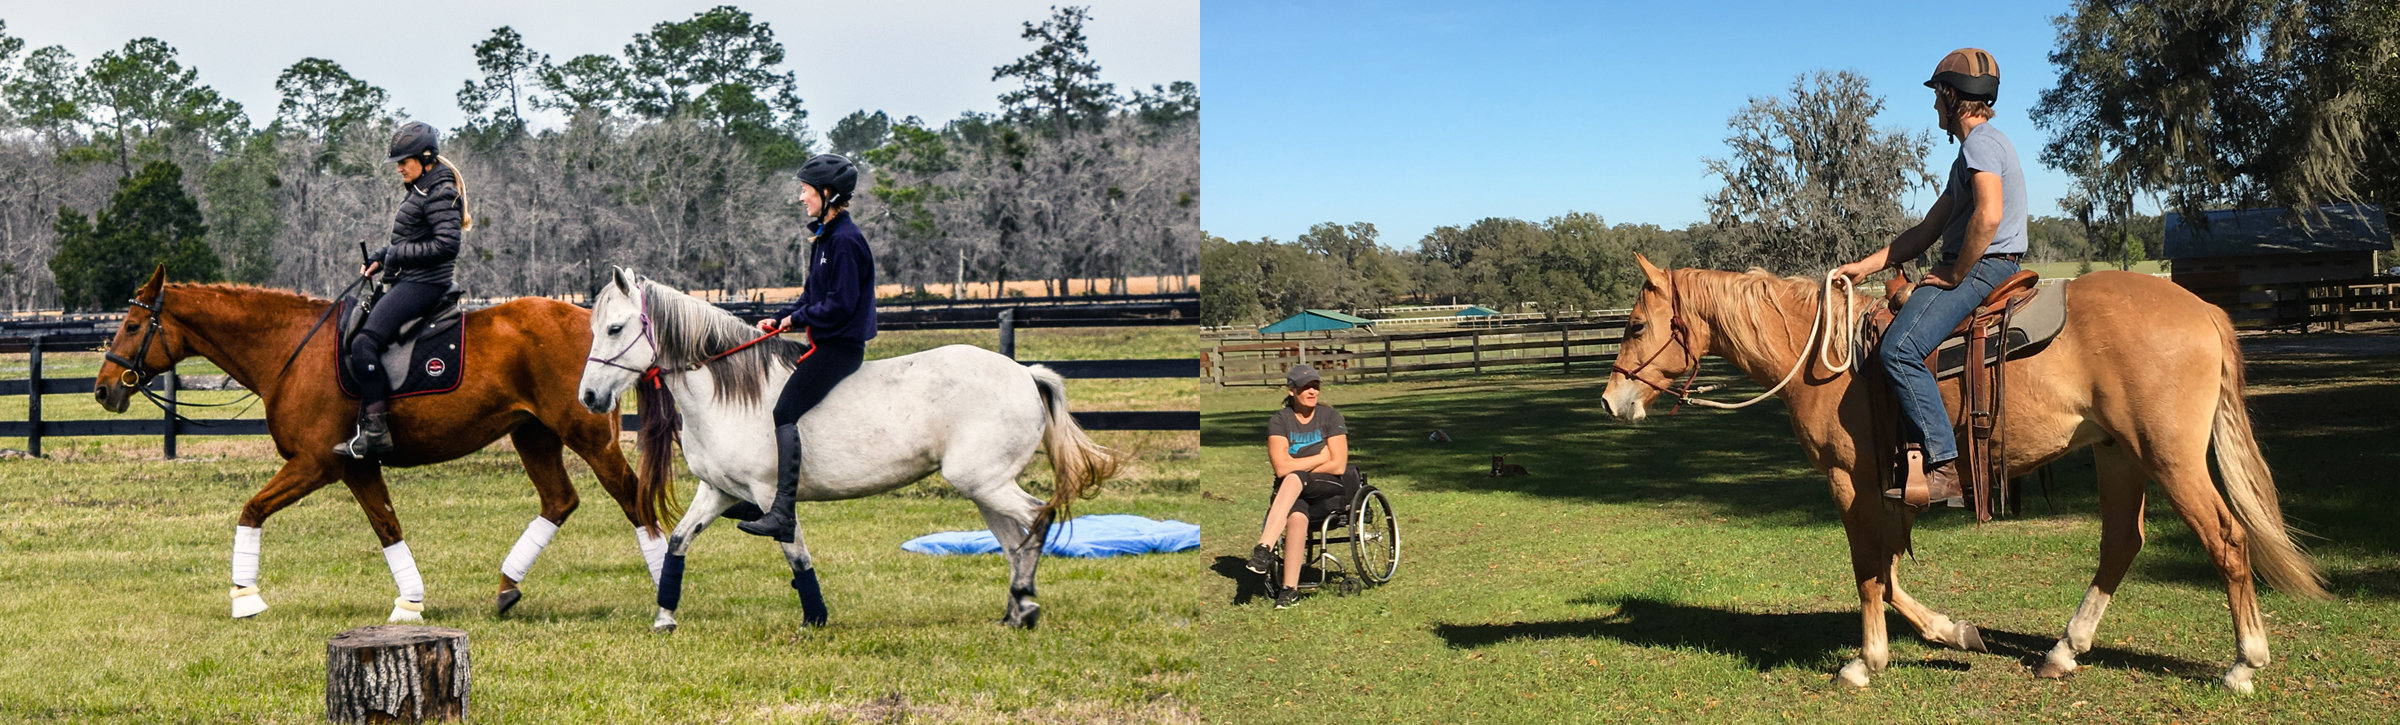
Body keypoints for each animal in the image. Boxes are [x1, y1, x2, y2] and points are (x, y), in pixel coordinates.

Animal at [93, 267, 666, 622]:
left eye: (132, 325)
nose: (103, 390)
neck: (291, 349)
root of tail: (590, 320)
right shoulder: (357, 468)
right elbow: (388, 527)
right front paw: (409, 604)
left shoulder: (315, 464)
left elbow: (251, 510)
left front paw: (244, 599)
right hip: (533, 435)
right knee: (559, 501)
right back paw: (506, 587)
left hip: (588, 437)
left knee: (633, 499)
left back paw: (664, 589)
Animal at [575, 268, 1119, 632]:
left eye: (616, 328)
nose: (589, 398)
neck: (725, 393)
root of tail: (1025, 373)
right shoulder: (717, 491)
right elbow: (679, 542)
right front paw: (665, 616)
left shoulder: (769, 495)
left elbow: (795, 553)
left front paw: (815, 619)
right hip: (984, 487)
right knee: (1014, 540)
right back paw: (1016, 611)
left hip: (985, 481)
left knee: (1038, 519)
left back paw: (1024, 602)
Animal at [1599, 255, 2328, 693]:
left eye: (1634, 325)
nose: (1610, 401)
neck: (1823, 357)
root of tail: (2201, 309)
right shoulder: (1890, 487)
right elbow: (1890, 573)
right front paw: (1952, 630)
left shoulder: (1849, 482)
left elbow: (1869, 573)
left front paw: (1865, 662)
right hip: (2119, 453)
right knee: (2122, 542)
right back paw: (2064, 650)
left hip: (2169, 457)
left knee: (2227, 540)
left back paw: (2244, 662)